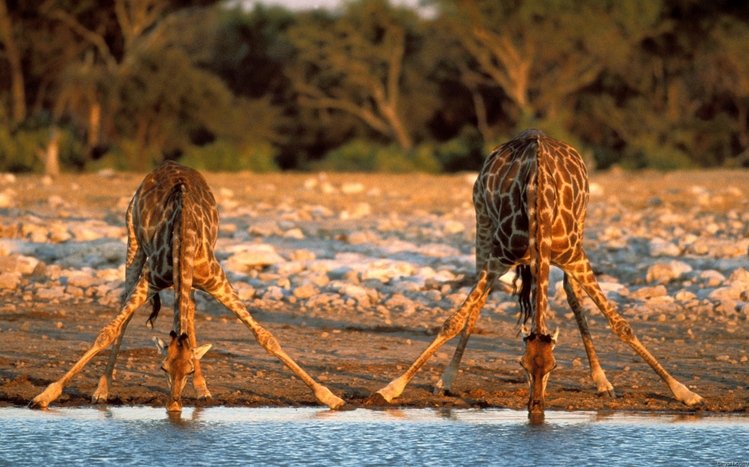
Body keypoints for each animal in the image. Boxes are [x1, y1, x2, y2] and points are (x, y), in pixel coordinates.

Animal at [30, 161, 344, 412]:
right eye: (162, 367)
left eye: (189, 369)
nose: (174, 406)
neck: (183, 238)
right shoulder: (151, 280)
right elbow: (107, 332)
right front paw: (45, 396)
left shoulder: (217, 280)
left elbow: (266, 338)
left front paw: (330, 397)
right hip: (133, 242)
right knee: (126, 309)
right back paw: (102, 390)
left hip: (187, 278)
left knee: (189, 313)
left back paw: (203, 390)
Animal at [372, 129, 703, 416]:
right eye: (522, 364)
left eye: (554, 366)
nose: (536, 407)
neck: (539, 204)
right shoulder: (498, 258)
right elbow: (452, 321)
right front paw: (391, 388)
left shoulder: (575, 258)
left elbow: (621, 325)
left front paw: (685, 392)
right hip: (482, 221)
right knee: (478, 300)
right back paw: (446, 379)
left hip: (581, 227)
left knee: (572, 294)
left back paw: (602, 382)